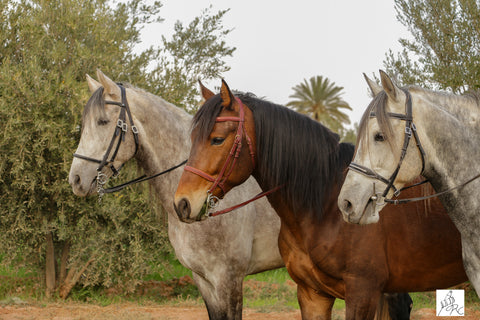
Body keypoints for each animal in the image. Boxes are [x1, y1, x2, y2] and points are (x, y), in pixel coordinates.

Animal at [174, 80, 466, 320]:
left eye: (217, 139)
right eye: (192, 139)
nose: (182, 203)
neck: (325, 208)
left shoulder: (362, 292)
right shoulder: (312, 294)